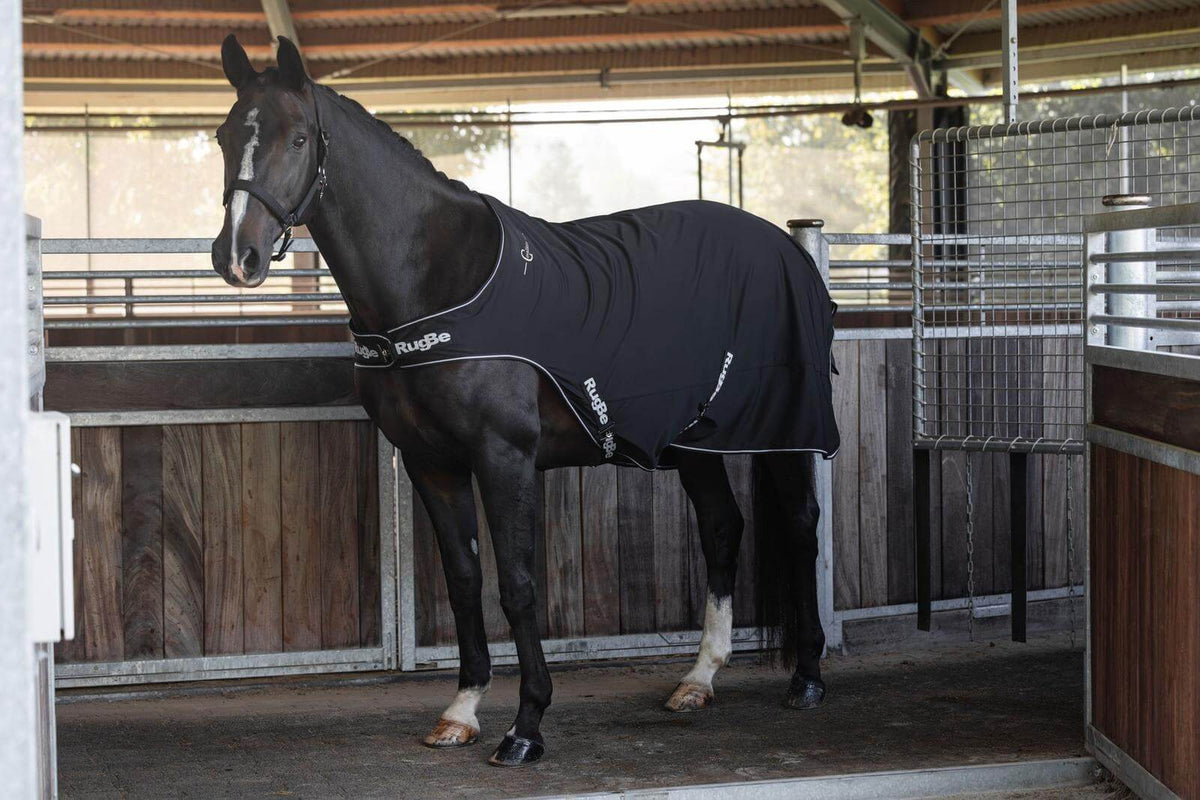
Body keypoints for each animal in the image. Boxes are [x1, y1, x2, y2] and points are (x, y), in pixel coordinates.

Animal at [211, 35, 835, 767]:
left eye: (300, 138)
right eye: (225, 136)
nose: (237, 256)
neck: (437, 282)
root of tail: (787, 247)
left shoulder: (503, 456)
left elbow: (517, 584)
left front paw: (526, 726)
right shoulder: (431, 462)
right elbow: (463, 580)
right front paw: (461, 710)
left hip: (783, 429)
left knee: (799, 524)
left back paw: (808, 676)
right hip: (697, 441)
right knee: (722, 529)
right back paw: (698, 679)